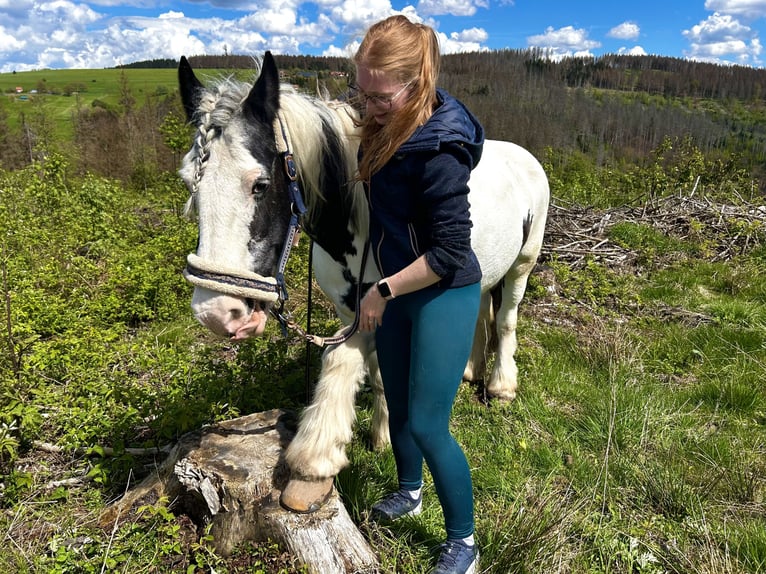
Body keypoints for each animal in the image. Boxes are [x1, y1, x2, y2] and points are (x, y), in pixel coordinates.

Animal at [178, 53, 552, 512]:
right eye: (190, 183)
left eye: (260, 184)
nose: (216, 313)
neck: (359, 218)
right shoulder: (350, 311)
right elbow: (377, 373)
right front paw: (383, 433)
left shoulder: (374, 309)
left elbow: (340, 362)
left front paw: (315, 459)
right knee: (482, 307)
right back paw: (470, 370)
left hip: (522, 264)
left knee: (506, 319)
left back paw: (500, 385)